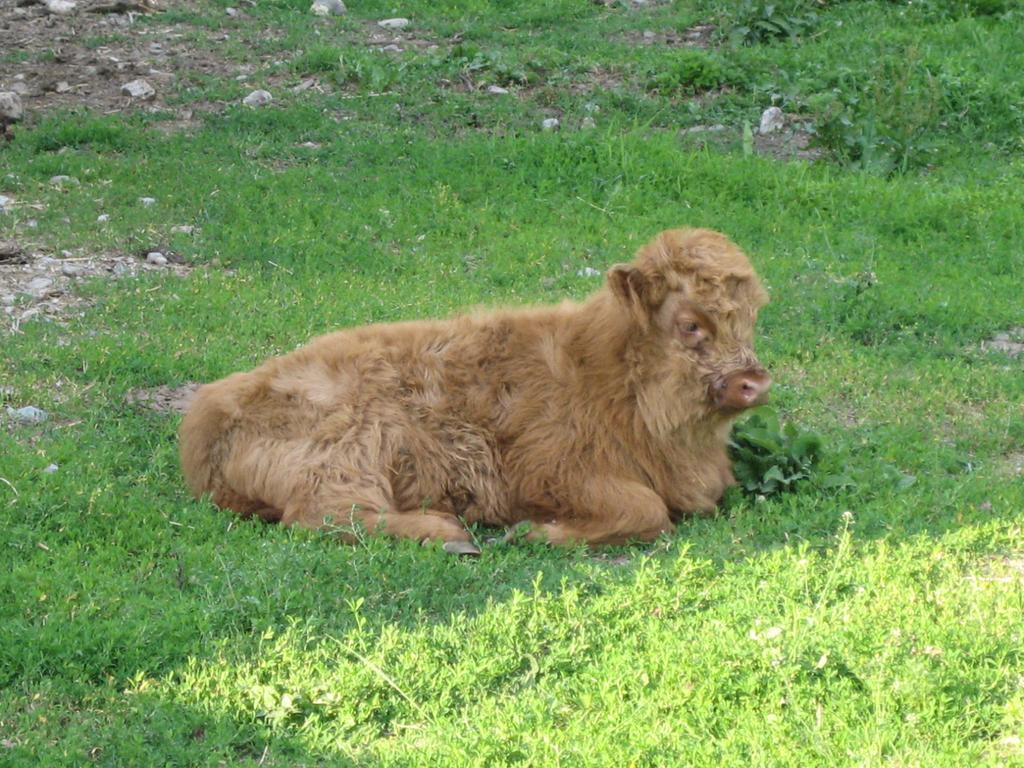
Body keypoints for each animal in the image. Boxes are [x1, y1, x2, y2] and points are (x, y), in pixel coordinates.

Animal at [178, 225, 770, 548]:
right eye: (690, 324)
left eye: (748, 319)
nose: (754, 382)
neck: (605, 371)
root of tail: (209, 412)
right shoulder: (554, 472)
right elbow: (647, 510)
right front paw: (532, 532)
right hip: (355, 448)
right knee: (322, 516)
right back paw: (449, 534)